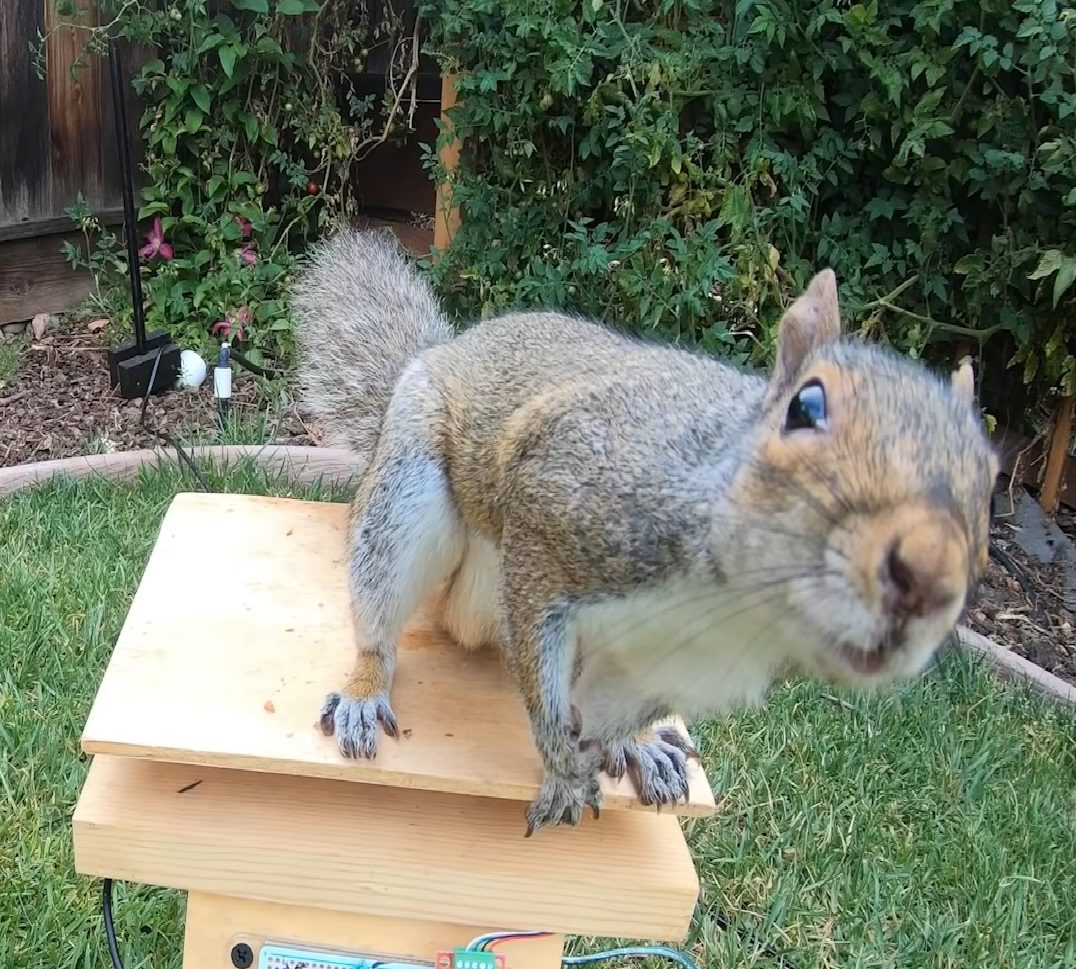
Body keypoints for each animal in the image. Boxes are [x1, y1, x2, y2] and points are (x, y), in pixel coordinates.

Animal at [290, 226, 994, 830]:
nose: (928, 573)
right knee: (386, 609)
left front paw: (631, 740)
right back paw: (365, 688)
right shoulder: (554, 523)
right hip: (409, 496)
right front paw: (564, 770)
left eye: (991, 471)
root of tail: (448, 348)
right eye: (807, 406)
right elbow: (545, 676)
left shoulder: (676, 662)